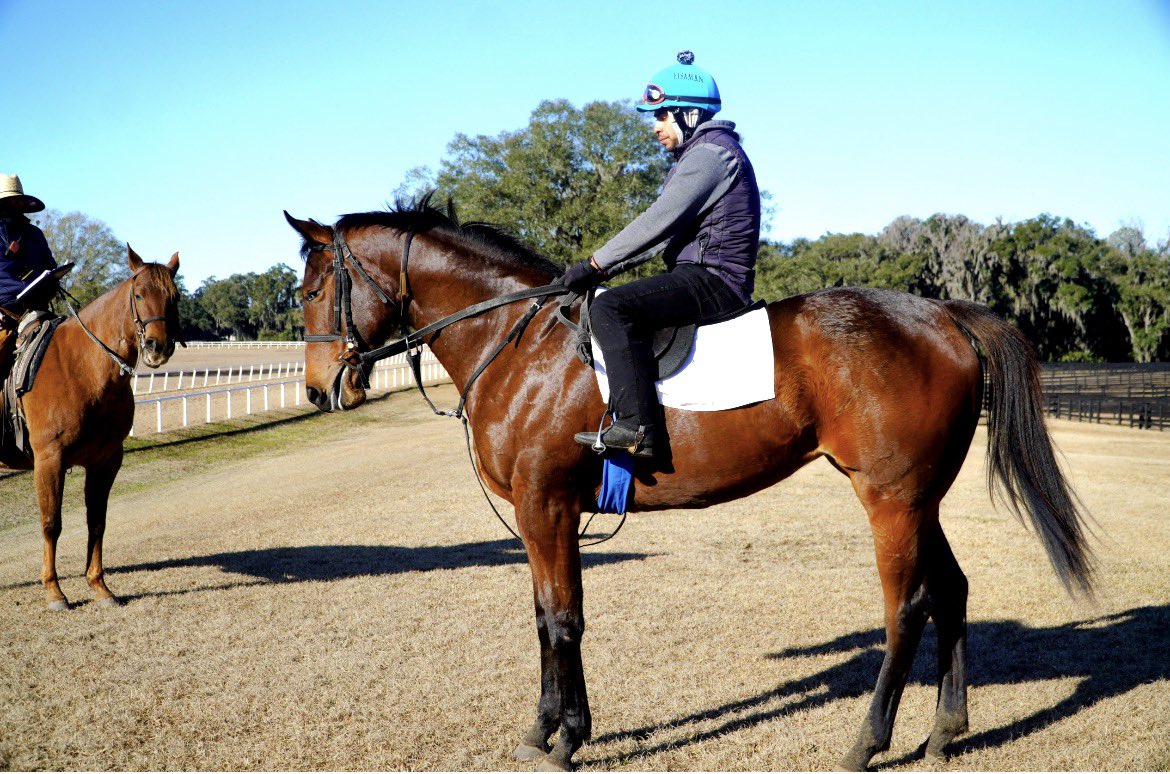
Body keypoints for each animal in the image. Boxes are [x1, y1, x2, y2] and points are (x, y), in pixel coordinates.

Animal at [0, 247, 183, 611]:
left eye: (175, 297)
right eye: (139, 294)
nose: (158, 346)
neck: (83, 367)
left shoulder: (106, 461)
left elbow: (97, 521)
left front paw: (98, 585)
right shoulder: (49, 461)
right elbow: (51, 523)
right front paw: (54, 591)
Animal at [285, 200, 1094, 771]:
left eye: (314, 288)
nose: (321, 389)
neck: (519, 343)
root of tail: (941, 312)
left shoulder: (546, 506)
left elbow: (562, 620)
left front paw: (566, 740)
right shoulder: (542, 513)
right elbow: (548, 616)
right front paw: (549, 728)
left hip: (891, 499)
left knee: (908, 608)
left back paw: (866, 743)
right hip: (922, 499)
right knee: (950, 591)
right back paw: (945, 732)